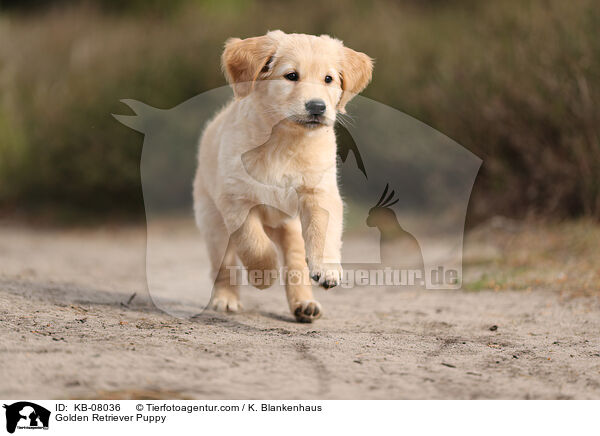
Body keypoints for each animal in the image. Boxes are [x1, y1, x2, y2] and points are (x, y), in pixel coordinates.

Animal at [193, 30, 370, 322]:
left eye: (329, 79)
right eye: (291, 76)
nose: (317, 107)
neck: (284, 141)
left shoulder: (319, 192)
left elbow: (323, 232)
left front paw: (328, 269)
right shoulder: (236, 199)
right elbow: (253, 243)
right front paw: (263, 274)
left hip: (290, 228)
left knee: (296, 264)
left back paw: (305, 305)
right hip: (212, 222)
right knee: (225, 264)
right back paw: (226, 299)